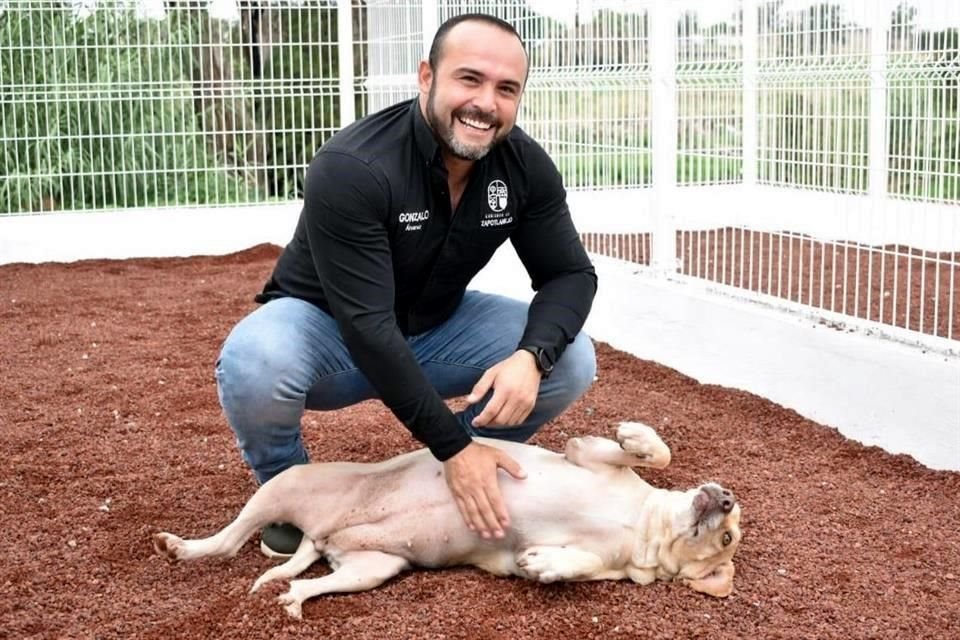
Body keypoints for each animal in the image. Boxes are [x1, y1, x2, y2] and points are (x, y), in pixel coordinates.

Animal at [156, 422, 744, 616]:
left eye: (728, 538)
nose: (725, 497)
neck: (642, 527)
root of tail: (321, 537)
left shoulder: (608, 565)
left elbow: (573, 564)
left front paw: (545, 565)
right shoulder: (587, 455)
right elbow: (656, 454)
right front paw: (637, 437)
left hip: (372, 570)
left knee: (304, 579)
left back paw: (293, 599)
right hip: (283, 485)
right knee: (225, 542)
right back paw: (180, 547)